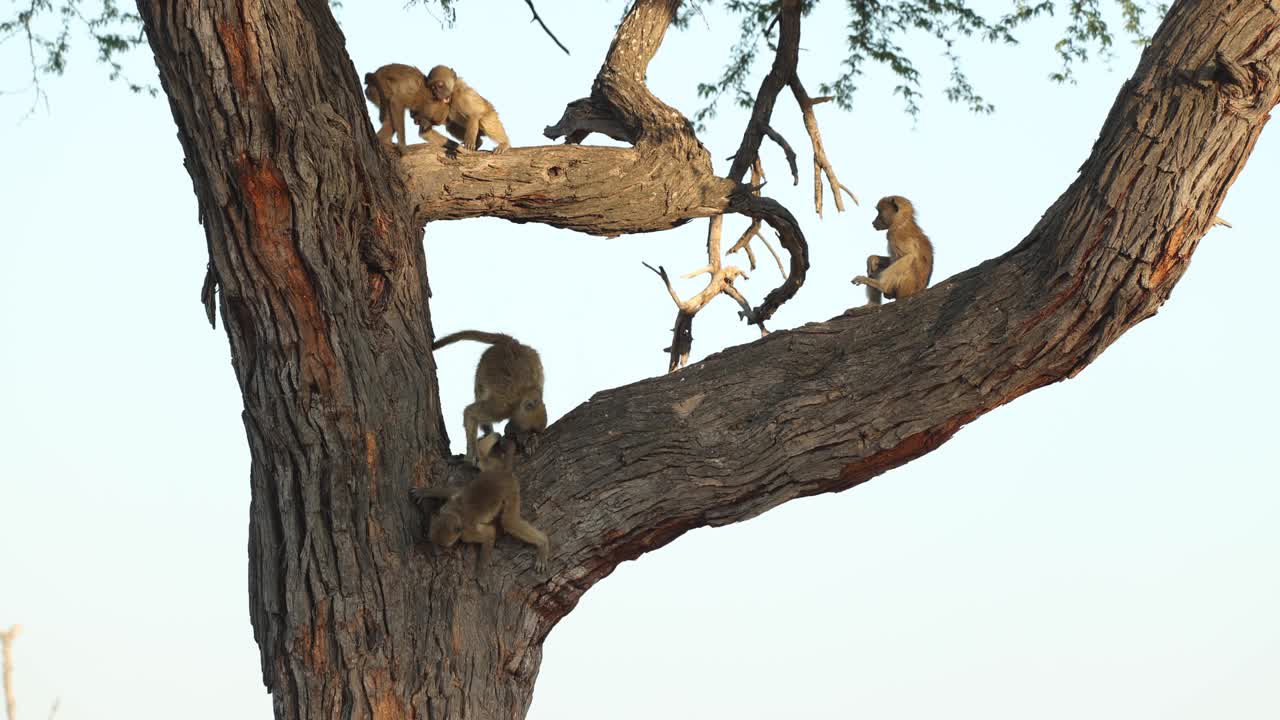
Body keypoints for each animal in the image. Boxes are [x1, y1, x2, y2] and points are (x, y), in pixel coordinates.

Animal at [411, 437, 551, 571]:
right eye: (433, 541)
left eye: (443, 546)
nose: (439, 552)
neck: (455, 513)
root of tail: (503, 474)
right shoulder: (450, 502)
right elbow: (454, 491)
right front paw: (425, 492)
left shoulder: (466, 533)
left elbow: (489, 533)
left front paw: (482, 567)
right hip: (492, 471)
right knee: (481, 463)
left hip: (511, 490)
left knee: (509, 522)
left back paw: (543, 543)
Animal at [432, 330, 546, 466]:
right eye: (527, 430)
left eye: (533, 432)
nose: (526, 436)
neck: (525, 395)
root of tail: (512, 342)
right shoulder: (500, 409)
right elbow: (470, 412)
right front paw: (470, 456)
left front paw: (530, 440)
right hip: (483, 365)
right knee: (480, 392)